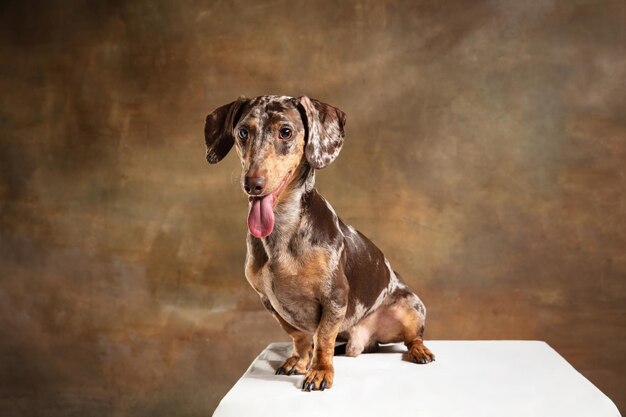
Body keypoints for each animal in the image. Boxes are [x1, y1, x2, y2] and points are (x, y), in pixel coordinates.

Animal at [202, 94, 432, 390]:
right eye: (242, 132)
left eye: (285, 132)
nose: (252, 184)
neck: (283, 231)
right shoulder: (270, 302)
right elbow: (299, 336)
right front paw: (300, 361)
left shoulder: (334, 296)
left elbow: (322, 339)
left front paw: (320, 371)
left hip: (410, 307)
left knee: (412, 337)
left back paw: (420, 350)